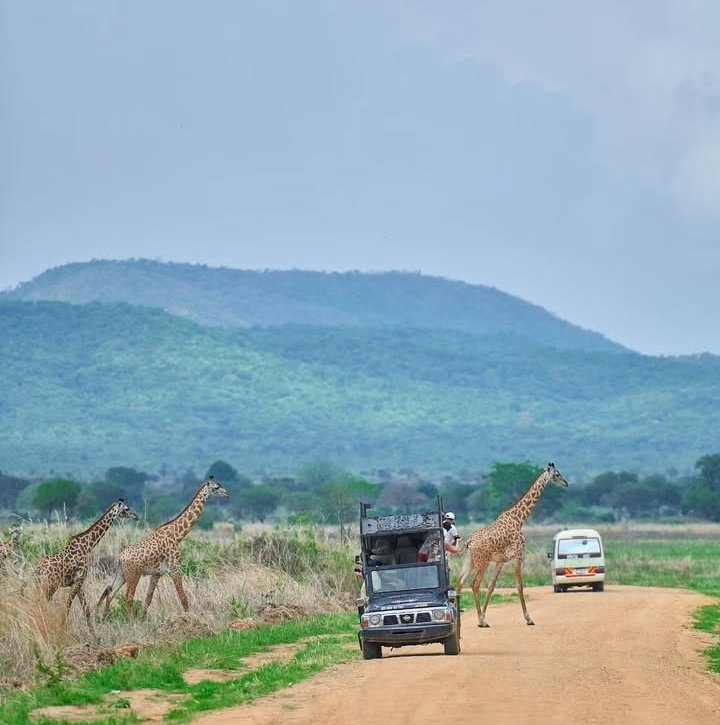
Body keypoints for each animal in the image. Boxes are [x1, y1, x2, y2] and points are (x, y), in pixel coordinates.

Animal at [34, 498, 139, 632]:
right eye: (127, 509)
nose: (136, 516)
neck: (88, 546)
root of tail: (38, 569)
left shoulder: (79, 582)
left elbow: (86, 610)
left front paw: (93, 634)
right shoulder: (78, 580)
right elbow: (67, 607)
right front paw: (62, 629)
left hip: (42, 584)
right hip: (50, 585)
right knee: (39, 602)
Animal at [96, 476, 228, 616]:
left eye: (220, 485)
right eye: (216, 487)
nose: (227, 494)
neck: (177, 536)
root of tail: (120, 558)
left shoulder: (157, 574)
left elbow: (148, 599)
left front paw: (143, 618)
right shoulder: (175, 569)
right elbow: (183, 597)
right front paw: (189, 617)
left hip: (122, 574)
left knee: (111, 593)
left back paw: (104, 618)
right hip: (134, 574)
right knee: (128, 596)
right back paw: (130, 619)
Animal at [456, 464, 568, 628]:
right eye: (556, 474)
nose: (566, 483)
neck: (519, 519)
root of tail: (469, 541)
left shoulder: (501, 561)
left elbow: (491, 587)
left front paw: (484, 615)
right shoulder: (518, 554)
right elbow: (519, 585)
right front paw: (528, 618)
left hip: (470, 561)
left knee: (459, 583)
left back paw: (462, 621)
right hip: (482, 562)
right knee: (474, 584)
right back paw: (480, 622)